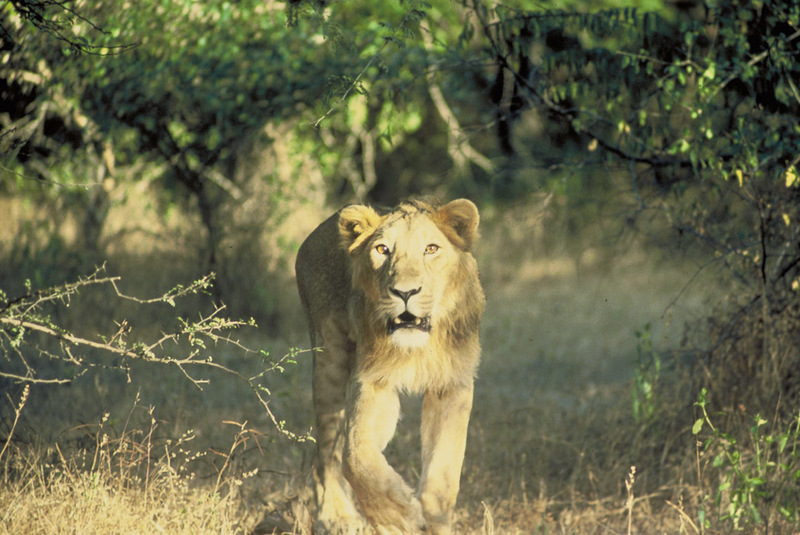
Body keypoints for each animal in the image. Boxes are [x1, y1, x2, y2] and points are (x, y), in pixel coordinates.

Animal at [296, 199, 488, 532]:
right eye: (382, 250)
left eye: (431, 249)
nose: (405, 292)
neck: (419, 345)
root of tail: (314, 234)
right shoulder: (374, 380)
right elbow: (355, 458)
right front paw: (399, 519)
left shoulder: (453, 384)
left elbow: (443, 473)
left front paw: (433, 521)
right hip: (329, 359)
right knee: (326, 453)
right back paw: (338, 516)